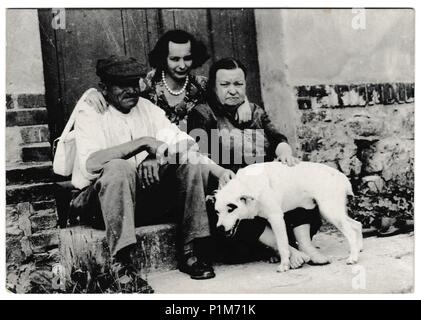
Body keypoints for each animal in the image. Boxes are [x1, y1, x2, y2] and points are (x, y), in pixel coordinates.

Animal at [212, 162, 362, 272]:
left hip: (330, 211)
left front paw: (285, 265)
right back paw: (358, 248)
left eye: (231, 209)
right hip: (332, 212)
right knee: (357, 224)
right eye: (217, 212)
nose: (219, 228)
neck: (249, 183)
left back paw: (353, 257)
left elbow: (282, 244)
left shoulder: (276, 218)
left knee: (350, 231)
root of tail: (341, 176)